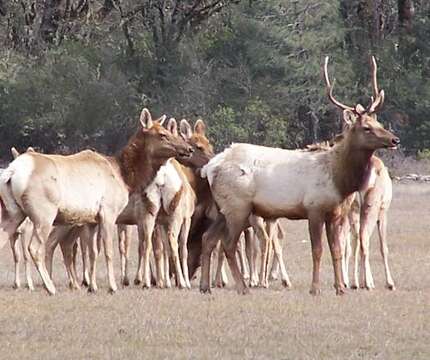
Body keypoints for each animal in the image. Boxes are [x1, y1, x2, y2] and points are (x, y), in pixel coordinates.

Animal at [200, 54, 398, 294]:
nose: (394, 139)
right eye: (366, 128)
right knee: (228, 244)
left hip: (222, 207)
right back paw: (242, 287)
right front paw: (315, 288)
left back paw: (205, 286)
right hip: (238, 206)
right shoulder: (314, 208)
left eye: (379, 122)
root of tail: (210, 167)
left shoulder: (336, 213)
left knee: (207, 238)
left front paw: (340, 288)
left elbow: (336, 250)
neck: (339, 180)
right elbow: (318, 250)